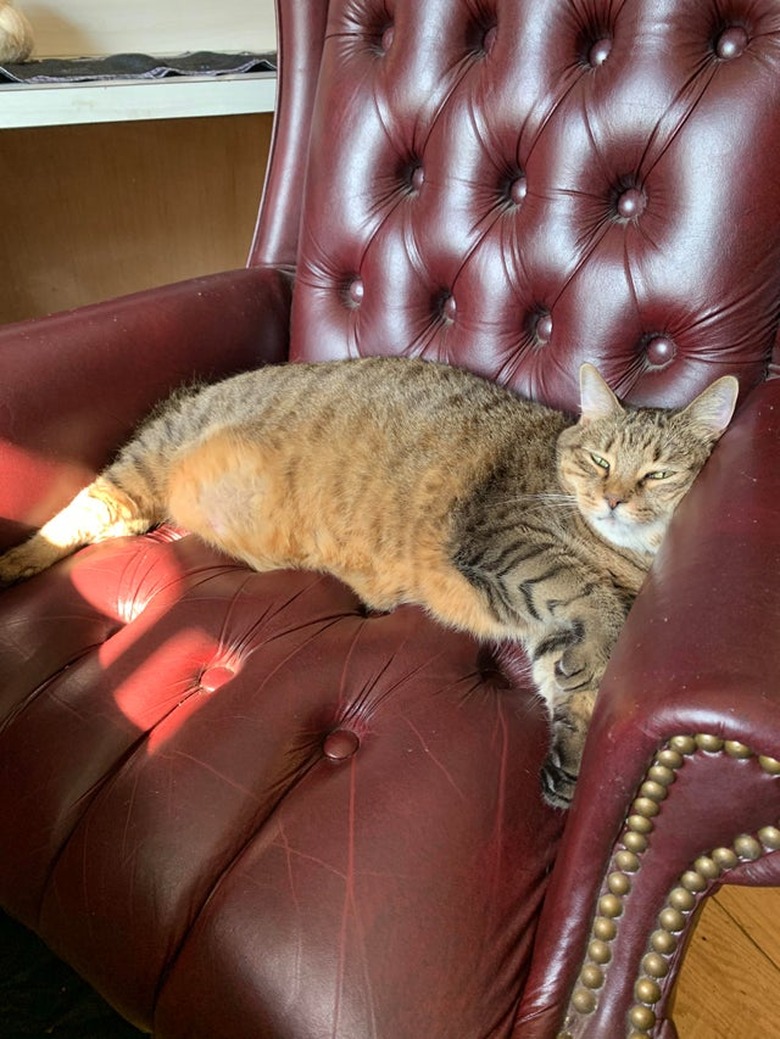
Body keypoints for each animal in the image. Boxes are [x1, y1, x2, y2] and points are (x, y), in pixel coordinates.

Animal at [0, 359, 739, 810]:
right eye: (599, 461)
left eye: (658, 474)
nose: (613, 500)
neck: (623, 556)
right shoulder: (505, 539)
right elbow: (588, 599)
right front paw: (603, 638)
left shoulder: (534, 613)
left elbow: (572, 674)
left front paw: (573, 752)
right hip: (142, 466)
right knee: (81, 510)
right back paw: (15, 560)